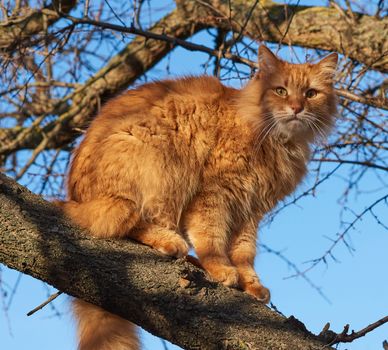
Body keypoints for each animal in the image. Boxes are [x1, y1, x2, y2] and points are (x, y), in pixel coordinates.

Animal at [63, 47, 336, 350]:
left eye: (311, 93)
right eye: (280, 90)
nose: (297, 108)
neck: (276, 140)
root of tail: (73, 198)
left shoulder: (250, 211)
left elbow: (244, 253)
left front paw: (250, 284)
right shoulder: (215, 192)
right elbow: (211, 239)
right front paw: (220, 269)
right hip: (160, 172)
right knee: (126, 223)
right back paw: (174, 245)